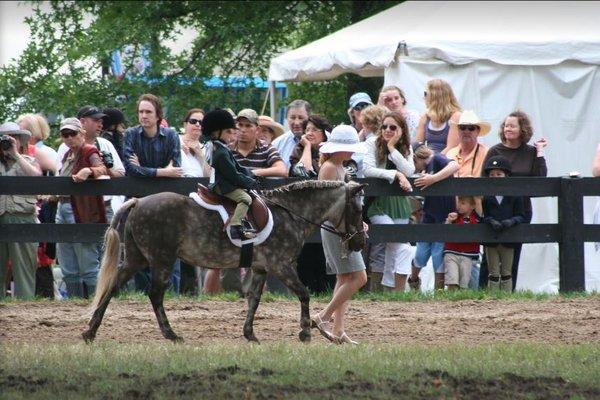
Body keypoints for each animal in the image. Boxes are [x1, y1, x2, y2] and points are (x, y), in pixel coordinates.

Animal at [82, 180, 366, 342]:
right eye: (359, 209)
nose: (360, 242)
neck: (290, 214)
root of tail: (138, 201)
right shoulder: (281, 265)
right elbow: (304, 294)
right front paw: (305, 332)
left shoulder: (261, 268)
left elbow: (254, 299)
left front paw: (250, 334)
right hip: (162, 260)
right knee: (155, 295)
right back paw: (170, 334)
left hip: (136, 259)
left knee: (112, 288)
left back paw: (90, 332)